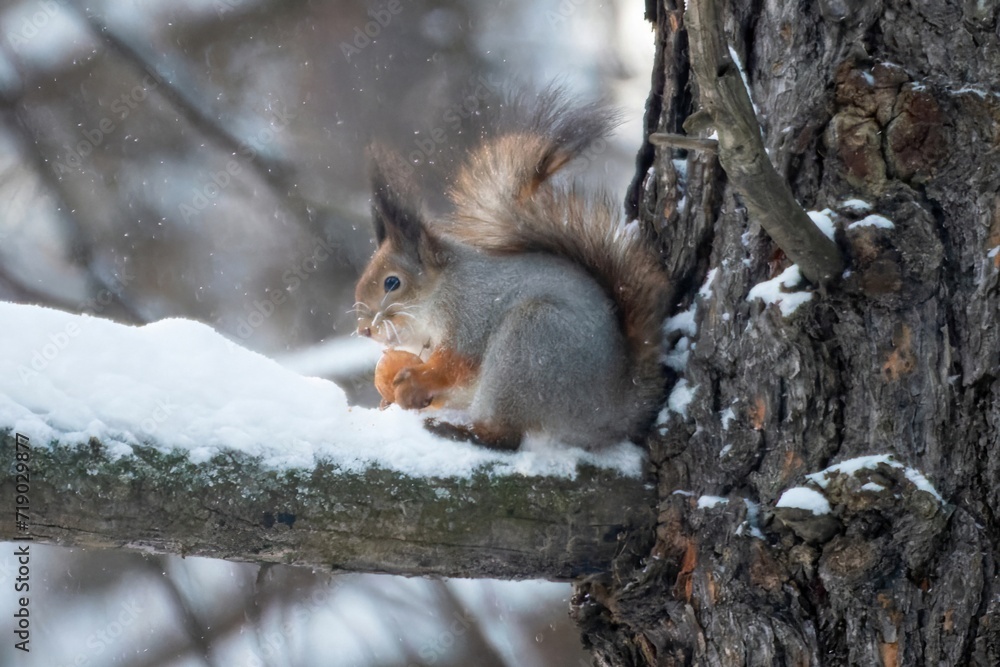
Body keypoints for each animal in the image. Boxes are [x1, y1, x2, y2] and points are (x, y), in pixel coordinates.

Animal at [354, 89, 668, 451]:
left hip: (528, 345)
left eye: (392, 283)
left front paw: (416, 379)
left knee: (506, 437)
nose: (365, 330)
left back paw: (462, 431)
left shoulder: (472, 314)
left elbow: (456, 363)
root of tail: (610, 414)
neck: (440, 293)